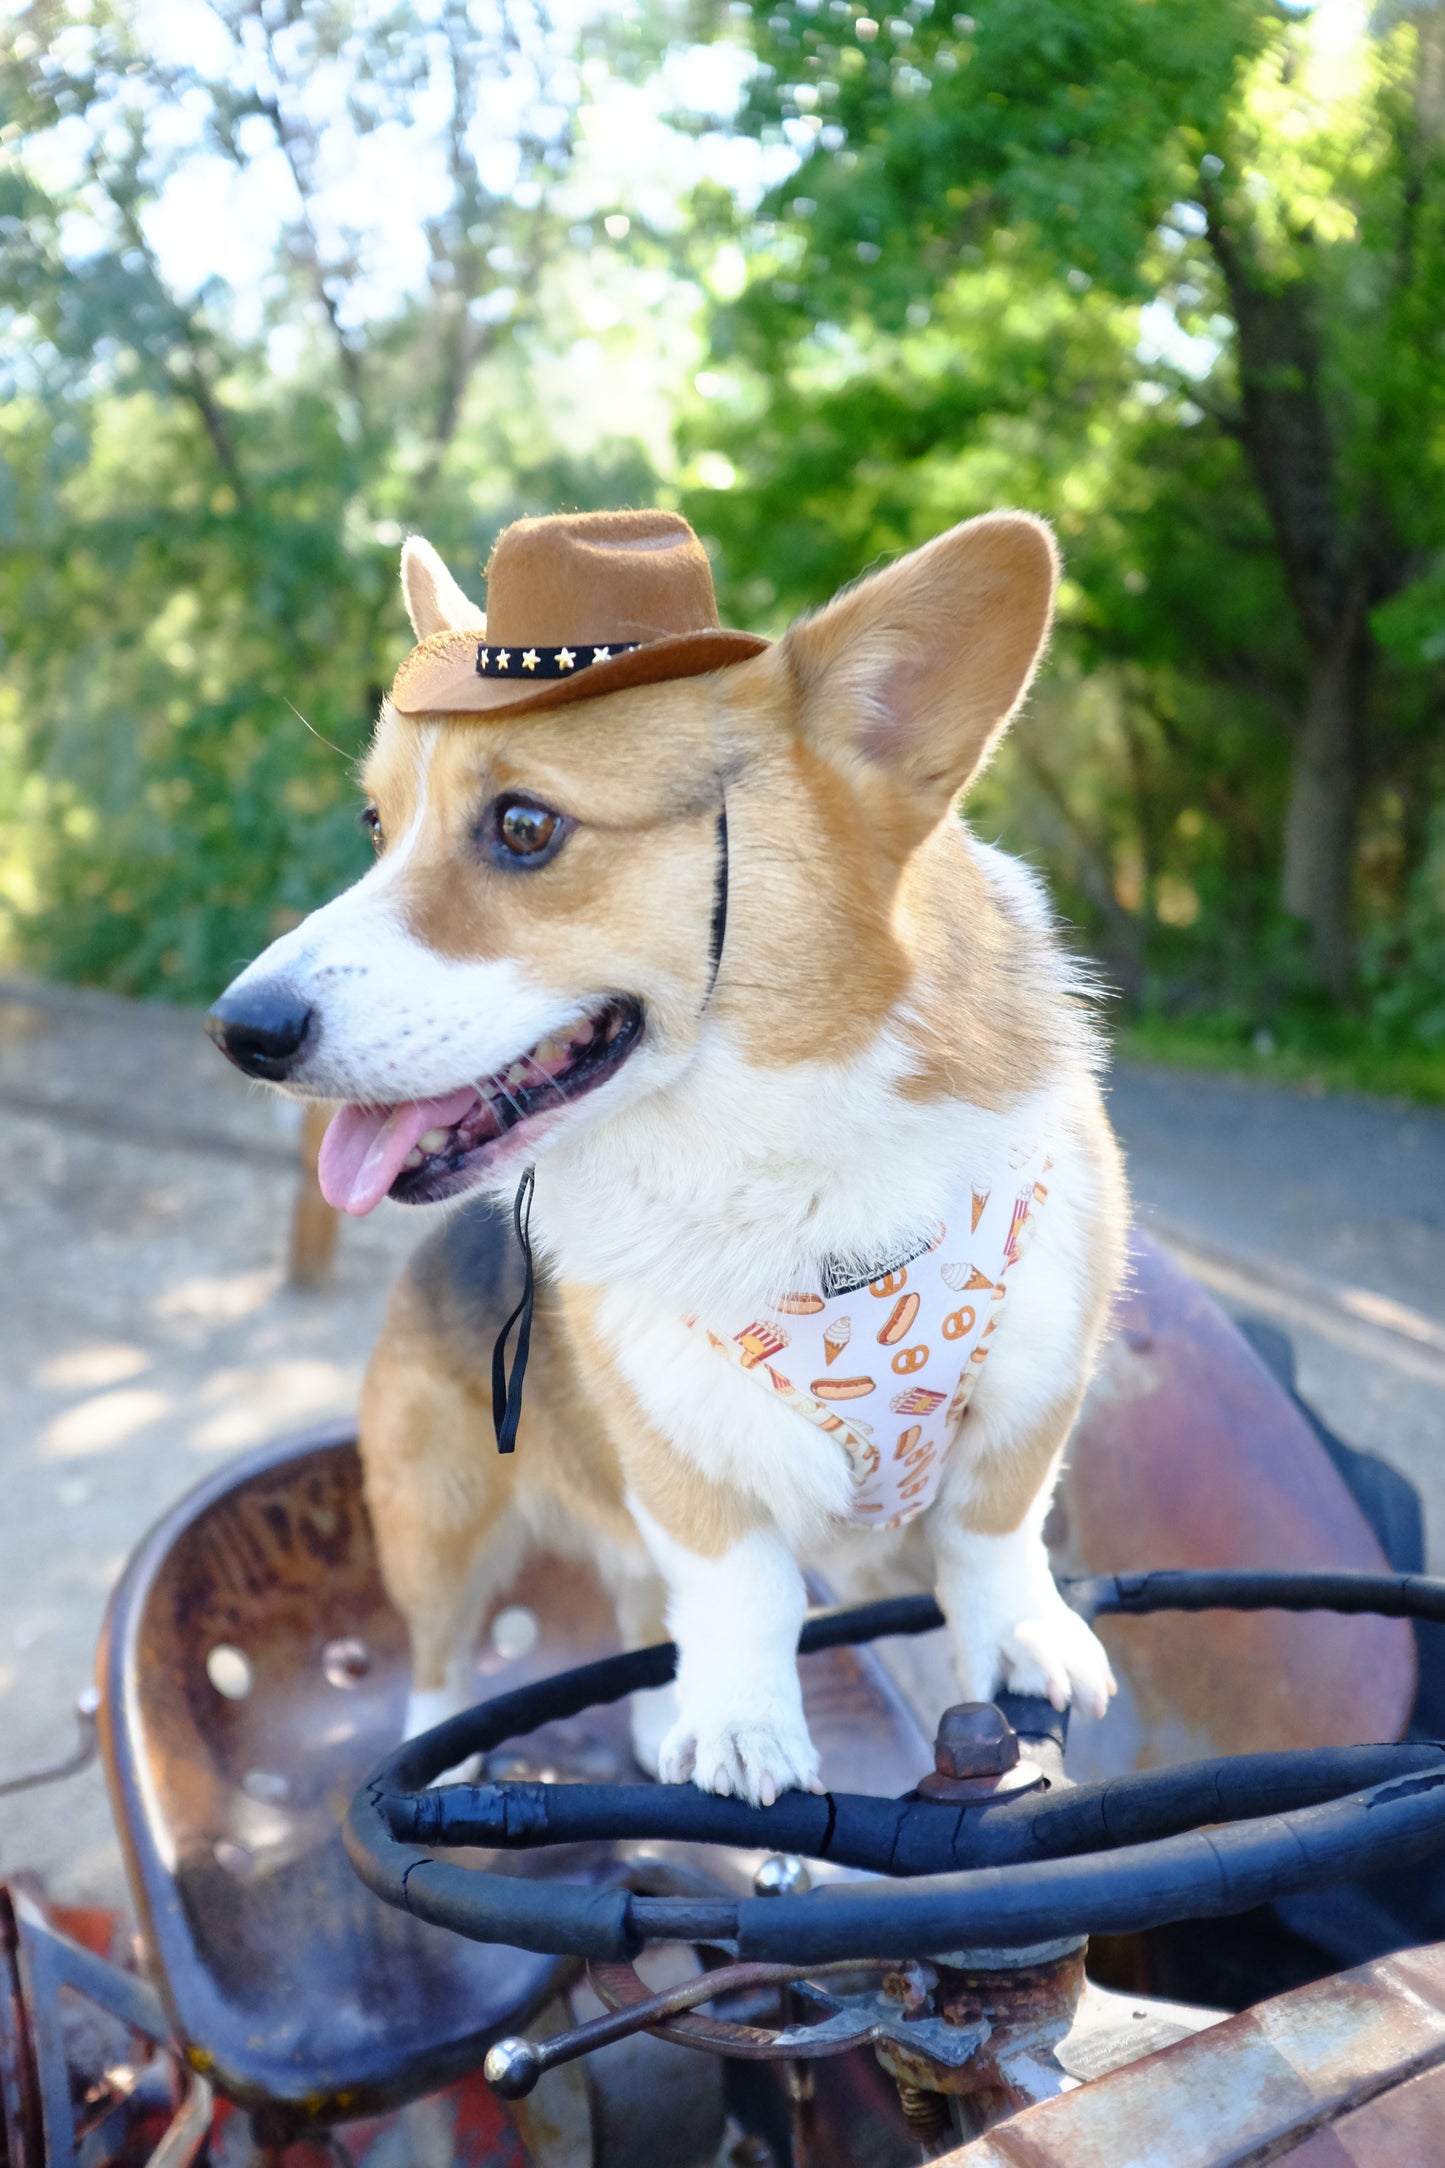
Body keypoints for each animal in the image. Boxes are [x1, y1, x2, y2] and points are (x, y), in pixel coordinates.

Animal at [205, 502, 1126, 1795]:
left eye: (525, 825)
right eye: (374, 826)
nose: (239, 1030)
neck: (790, 1173)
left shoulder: (1035, 1389)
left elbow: (995, 1531)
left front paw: (1025, 1638)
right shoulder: (679, 1454)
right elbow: (741, 1590)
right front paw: (744, 1724)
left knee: (643, 1614)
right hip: (436, 1517)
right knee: (443, 1655)